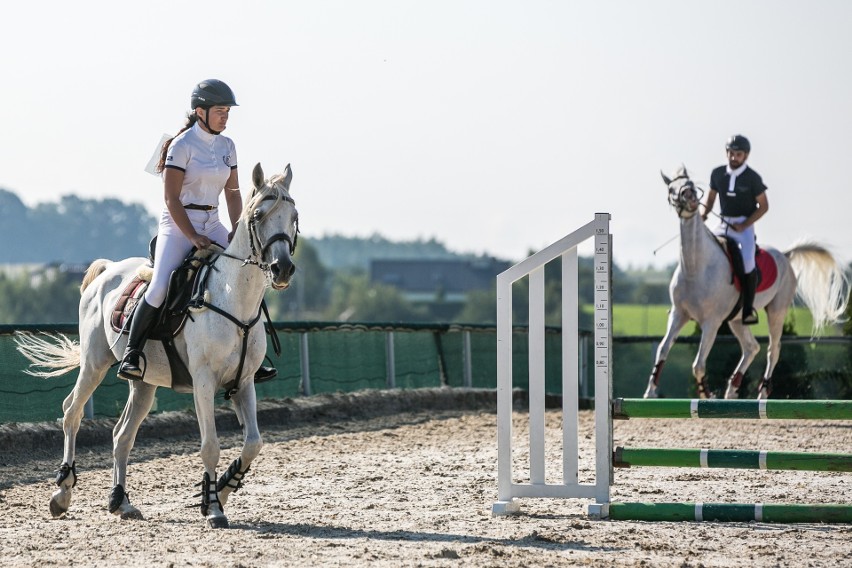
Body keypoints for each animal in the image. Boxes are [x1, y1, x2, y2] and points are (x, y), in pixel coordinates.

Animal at [12, 163, 300, 528]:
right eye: (260, 215)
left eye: (294, 216)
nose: (282, 268)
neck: (233, 299)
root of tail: (108, 270)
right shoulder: (203, 382)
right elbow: (210, 445)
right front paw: (213, 508)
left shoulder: (244, 382)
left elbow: (253, 444)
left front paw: (221, 490)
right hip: (94, 364)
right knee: (71, 412)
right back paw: (62, 493)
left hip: (144, 384)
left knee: (121, 435)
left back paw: (120, 502)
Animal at [644, 166, 844, 400]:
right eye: (671, 189)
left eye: (691, 185)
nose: (691, 198)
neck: (696, 267)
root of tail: (784, 255)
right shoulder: (679, 314)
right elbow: (663, 349)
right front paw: (650, 391)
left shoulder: (711, 322)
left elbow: (698, 364)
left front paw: (706, 394)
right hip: (736, 319)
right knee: (751, 347)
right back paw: (732, 389)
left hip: (776, 311)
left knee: (772, 350)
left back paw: (762, 393)